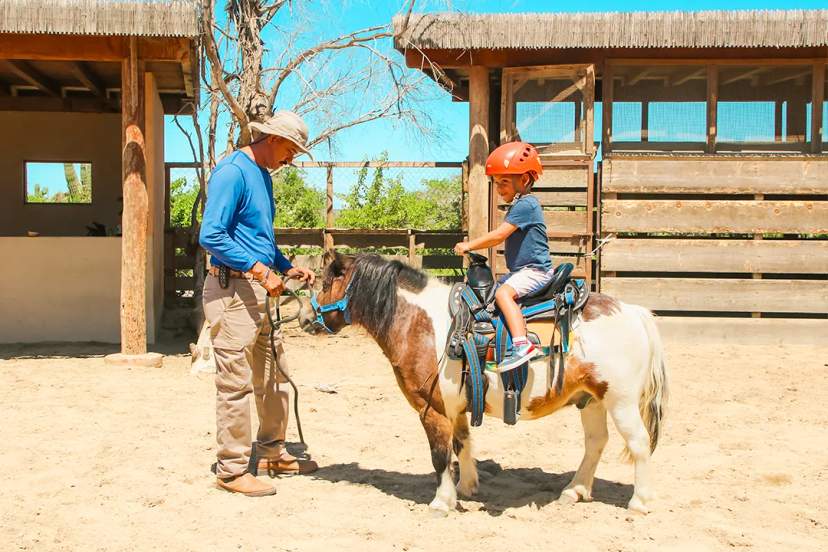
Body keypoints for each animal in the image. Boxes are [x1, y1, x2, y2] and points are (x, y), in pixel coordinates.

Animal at [297, 252, 669, 516]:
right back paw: (574, 491)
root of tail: (633, 312)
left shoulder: (431, 409)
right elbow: (462, 444)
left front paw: (442, 501)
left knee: (638, 443)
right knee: (595, 443)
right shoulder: (457, 407)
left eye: (327, 283)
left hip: (620, 402)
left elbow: (439, 455)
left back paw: (639, 502)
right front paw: (466, 487)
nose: (304, 318)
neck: (420, 324)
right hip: (590, 399)